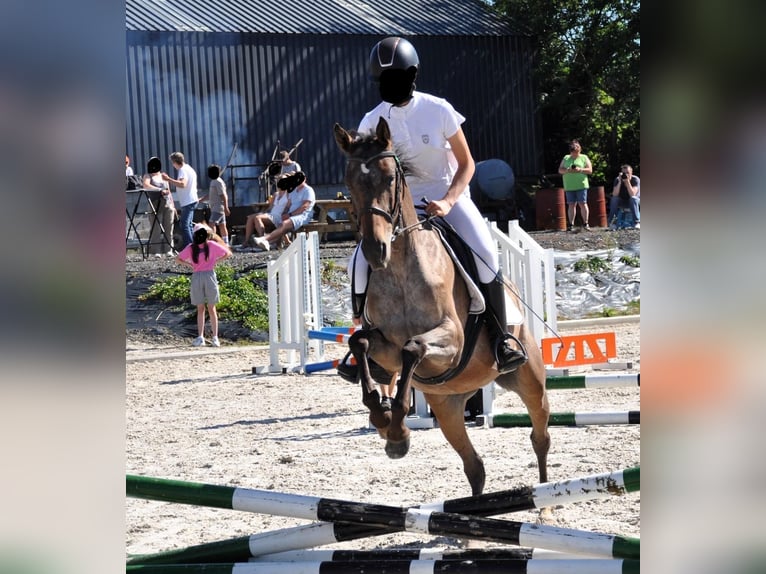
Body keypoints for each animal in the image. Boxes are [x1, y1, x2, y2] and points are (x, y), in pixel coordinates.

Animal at [334, 118, 552, 500]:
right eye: (349, 183)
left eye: (390, 178)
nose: (376, 250)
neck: (400, 269)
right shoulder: (384, 346)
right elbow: (359, 342)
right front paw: (384, 421)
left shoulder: (452, 339)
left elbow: (413, 347)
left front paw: (396, 429)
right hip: (447, 404)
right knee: (474, 466)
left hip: (531, 383)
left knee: (539, 436)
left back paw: (545, 501)